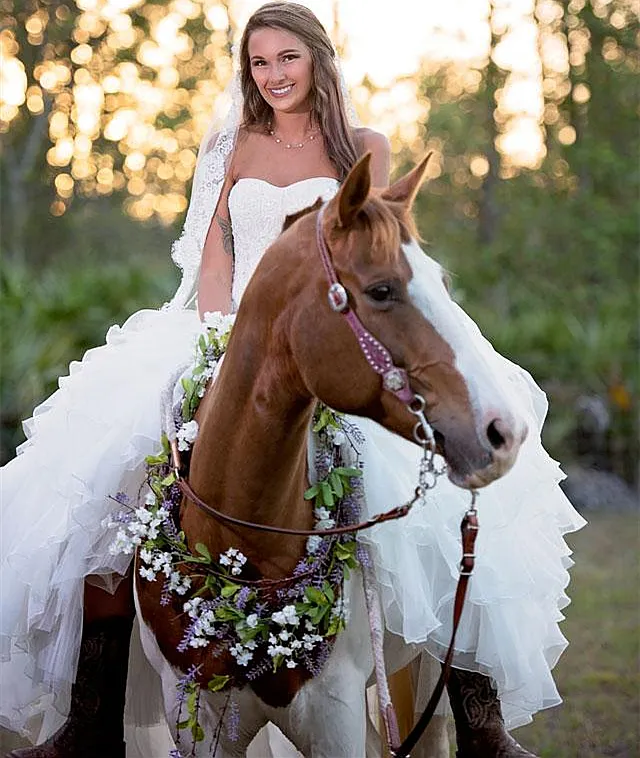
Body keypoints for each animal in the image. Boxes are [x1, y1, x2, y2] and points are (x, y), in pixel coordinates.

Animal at [134, 154, 524, 758]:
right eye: (383, 290)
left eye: (441, 283)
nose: (503, 429)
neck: (244, 550)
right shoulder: (196, 721)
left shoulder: (334, 718)